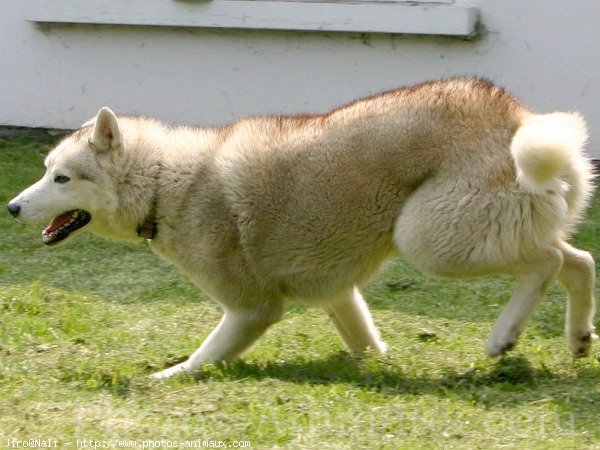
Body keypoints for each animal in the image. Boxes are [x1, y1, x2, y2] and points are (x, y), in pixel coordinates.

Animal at [5, 78, 596, 380]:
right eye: (45, 171)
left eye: (61, 178)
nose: (11, 207)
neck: (164, 182)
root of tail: (516, 117)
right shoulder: (335, 293)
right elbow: (366, 345)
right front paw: (380, 369)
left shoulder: (252, 310)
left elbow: (200, 359)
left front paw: (162, 379)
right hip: (481, 229)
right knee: (578, 260)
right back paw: (579, 338)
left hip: (432, 240)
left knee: (549, 262)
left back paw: (505, 336)